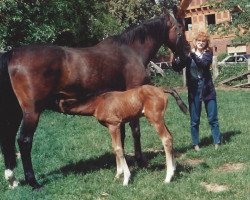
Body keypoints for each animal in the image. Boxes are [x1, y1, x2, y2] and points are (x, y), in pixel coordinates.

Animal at [59, 85, 188, 186]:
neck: (99, 102)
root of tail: (161, 89)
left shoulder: (113, 125)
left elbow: (118, 148)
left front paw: (126, 179)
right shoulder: (118, 125)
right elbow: (117, 147)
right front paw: (118, 175)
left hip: (155, 119)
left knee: (166, 139)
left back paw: (168, 177)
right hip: (160, 120)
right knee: (170, 136)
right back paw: (174, 169)